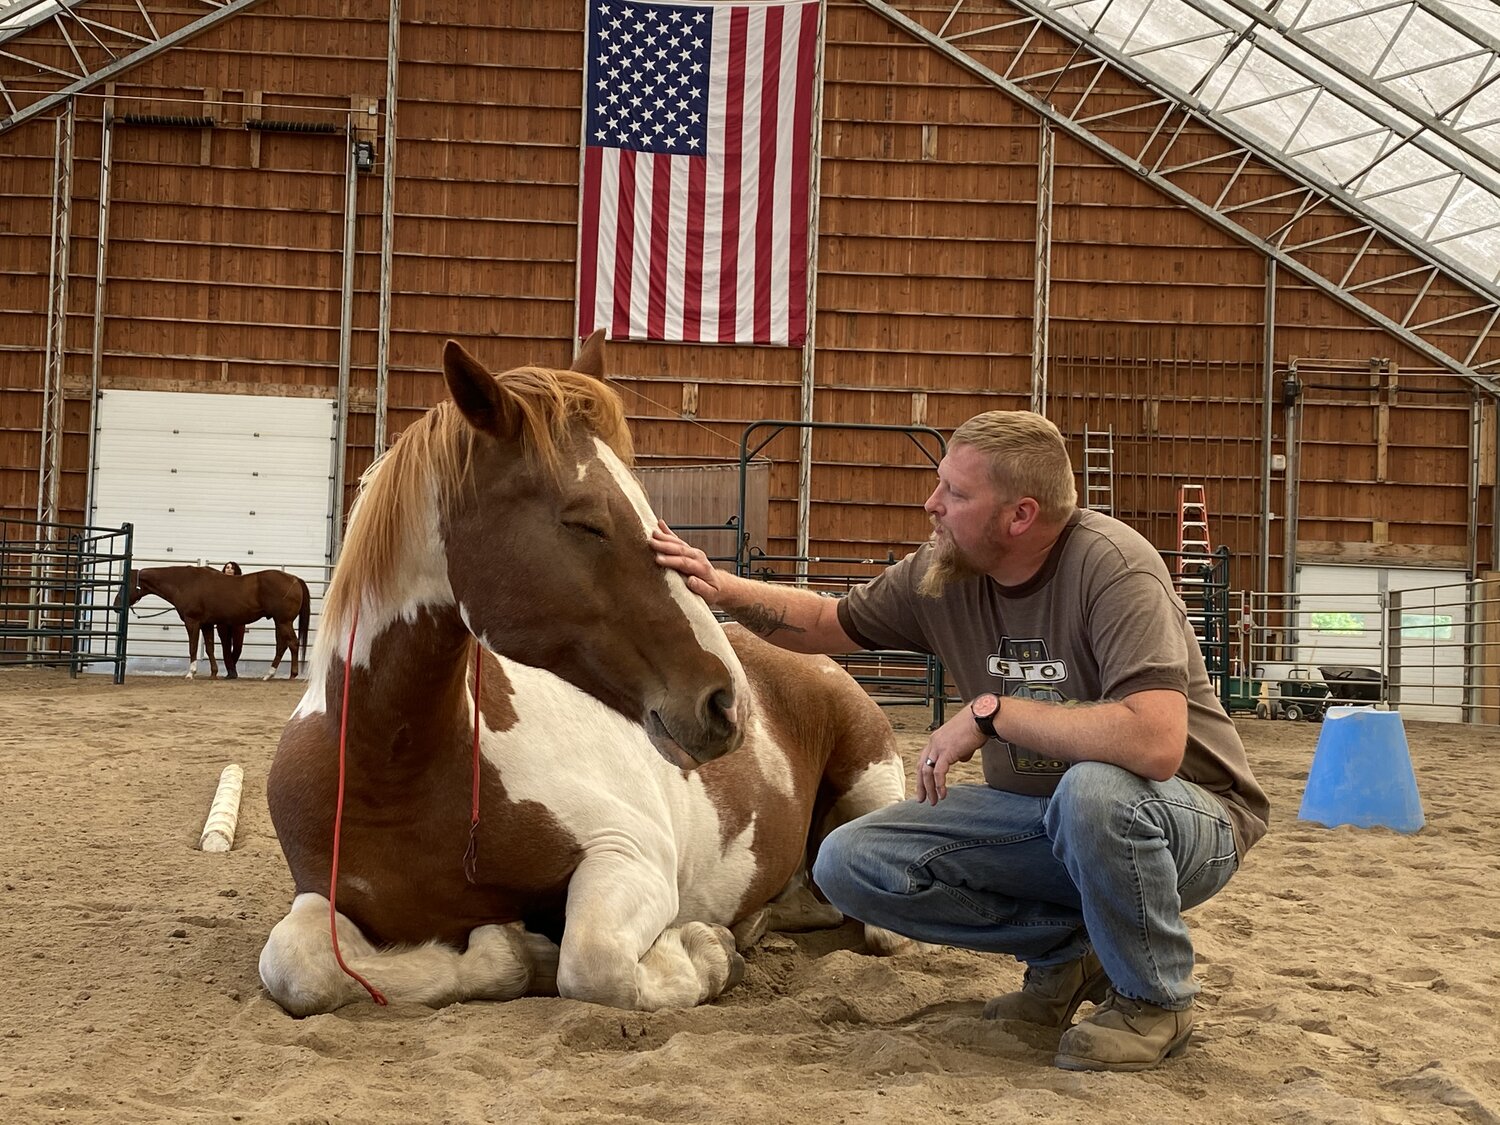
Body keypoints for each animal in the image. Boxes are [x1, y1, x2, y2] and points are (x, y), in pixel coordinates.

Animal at [130, 567, 312, 684]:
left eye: (128, 581)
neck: (185, 582)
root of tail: (295, 579)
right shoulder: (207, 624)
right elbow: (210, 648)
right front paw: (214, 673)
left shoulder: (192, 622)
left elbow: (193, 647)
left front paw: (190, 673)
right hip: (279, 622)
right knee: (282, 646)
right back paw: (269, 675)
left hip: (283, 621)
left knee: (293, 644)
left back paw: (292, 675)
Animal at [258, 330, 900, 1020]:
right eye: (585, 521)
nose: (728, 702)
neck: (395, 773)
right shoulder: (322, 898)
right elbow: (297, 964)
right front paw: (515, 950)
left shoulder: (628, 855)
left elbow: (593, 962)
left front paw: (702, 952)